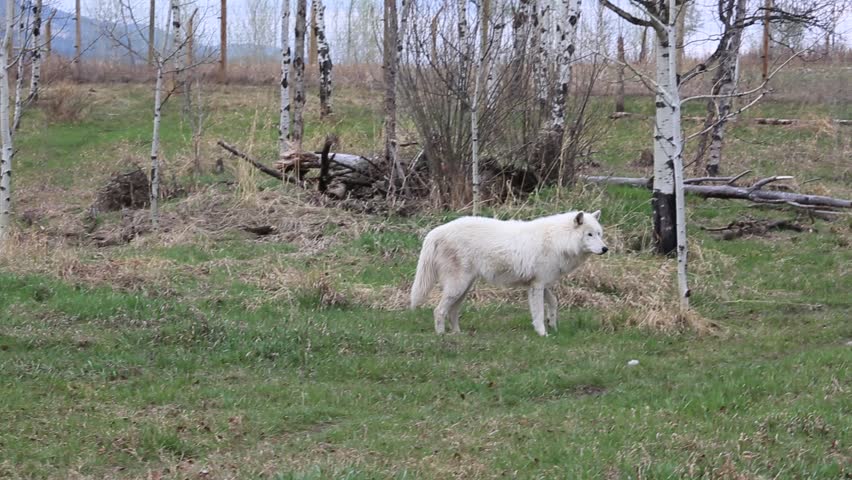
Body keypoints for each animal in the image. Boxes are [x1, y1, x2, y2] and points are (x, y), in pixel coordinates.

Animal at [410, 210, 608, 336]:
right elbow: (538, 313)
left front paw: (553, 324)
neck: (558, 240)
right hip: (458, 287)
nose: (605, 249)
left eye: (599, 233)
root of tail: (435, 231)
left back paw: (458, 334)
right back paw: (441, 336)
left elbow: (553, 302)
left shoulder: (541, 284)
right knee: (438, 310)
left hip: (463, 289)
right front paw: (543, 333)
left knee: (452, 311)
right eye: (589, 235)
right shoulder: (537, 286)